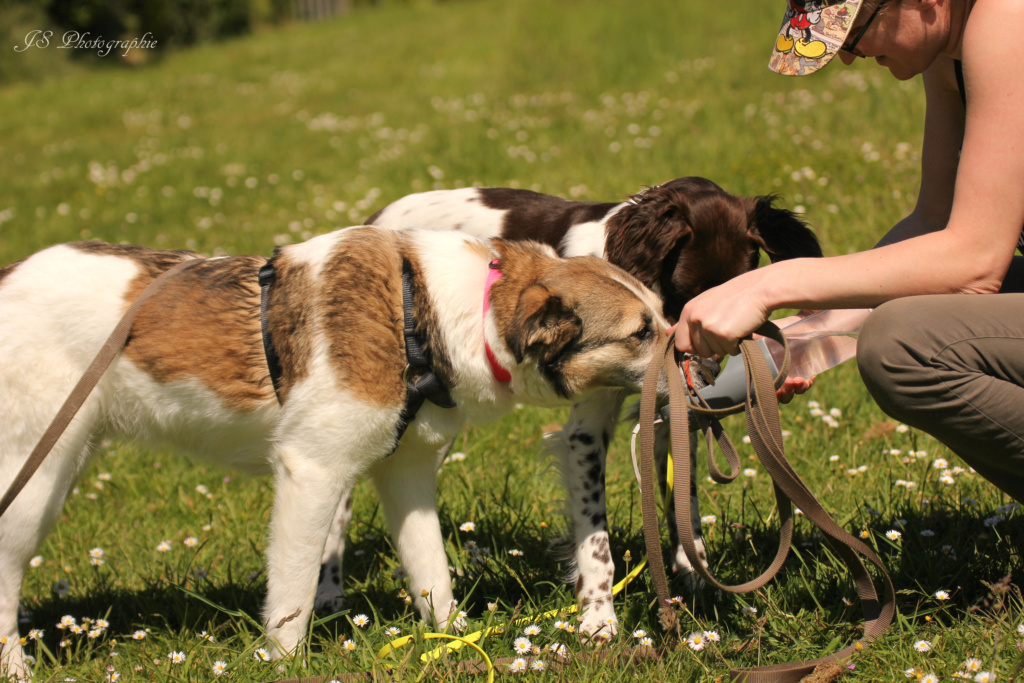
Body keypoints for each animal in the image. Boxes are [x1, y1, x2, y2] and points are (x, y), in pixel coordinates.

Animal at [0, 225, 671, 679]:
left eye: (663, 315)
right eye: (641, 332)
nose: (691, 350)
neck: (422, 310)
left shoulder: (405, 474)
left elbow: (433, 575)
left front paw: (456, 641)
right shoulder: (311, 473)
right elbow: (293, 597)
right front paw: (283, 665)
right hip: (34, 482)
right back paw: (16, 669)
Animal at [307, 178, 819, 643]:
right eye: (684, 295)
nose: (707, 373)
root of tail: (376, 220)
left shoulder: (669, 416)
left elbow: (684, 506)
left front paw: (698, 584)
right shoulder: (585, 432)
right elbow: (596, 541)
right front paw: (598, 617)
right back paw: (328, 594)